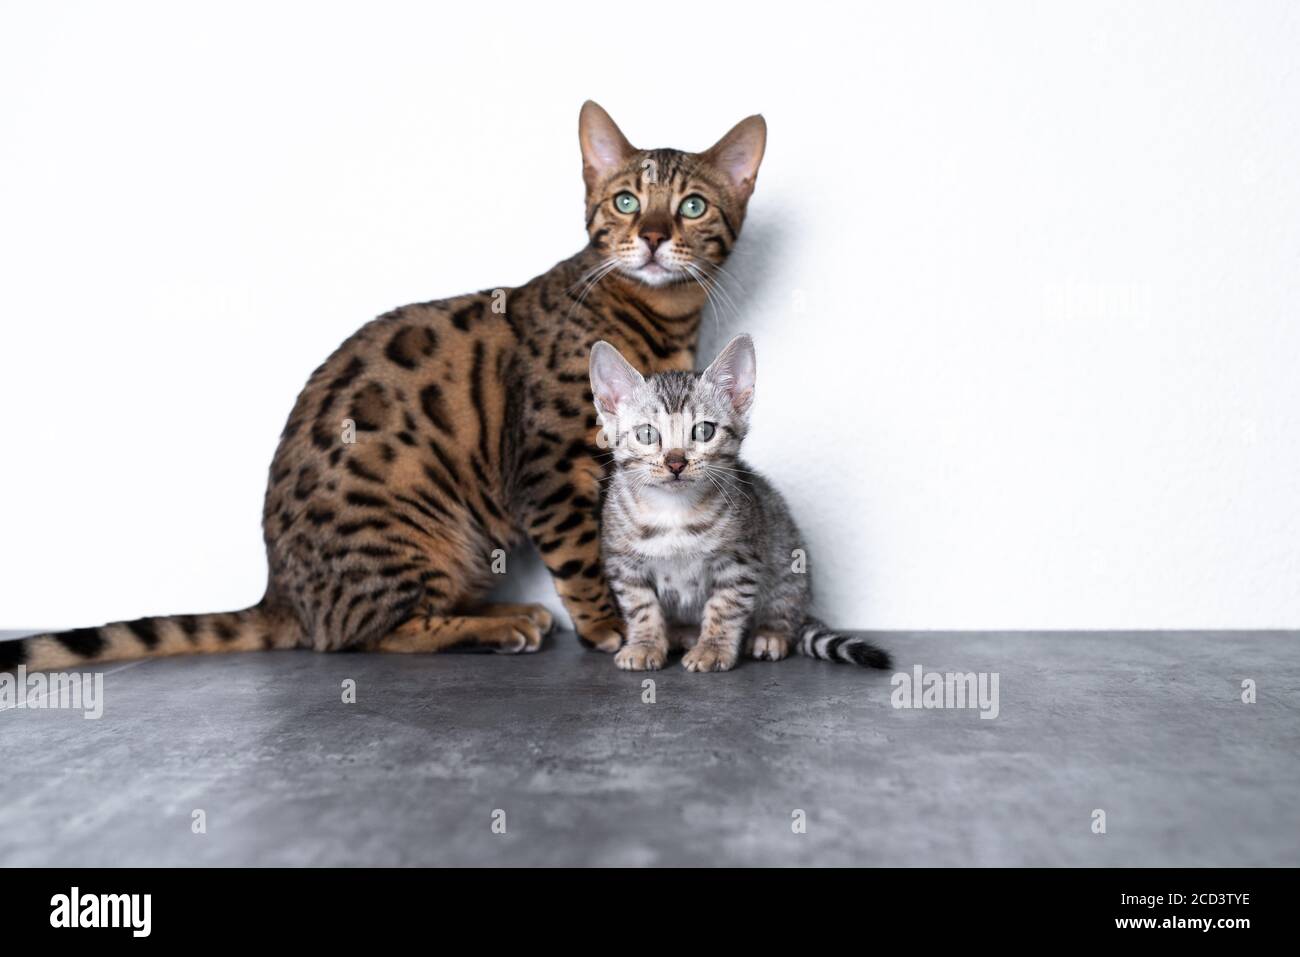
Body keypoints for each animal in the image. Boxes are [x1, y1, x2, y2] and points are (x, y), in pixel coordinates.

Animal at [2, 102, 759, 670]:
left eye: (692, 206)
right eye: (625, 201)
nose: (653, 235)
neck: (657, 318)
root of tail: (281, 591)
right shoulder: (550, 464)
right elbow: (582, 556)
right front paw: (609, 626)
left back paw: (505, 608)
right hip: (407, 526)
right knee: (364, 634)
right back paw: (495, 625)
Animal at [592, 335, 889, 670]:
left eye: (703, 430)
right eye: (646, 434)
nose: (675, 462)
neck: (674, 511)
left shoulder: (739, 561)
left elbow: (724, 607)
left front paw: (712, 649)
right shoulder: (624, 564)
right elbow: (640, 607)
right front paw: (644, 644)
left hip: (790, 562)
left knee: (786, 609)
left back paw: (769, 634)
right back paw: (682, 633)